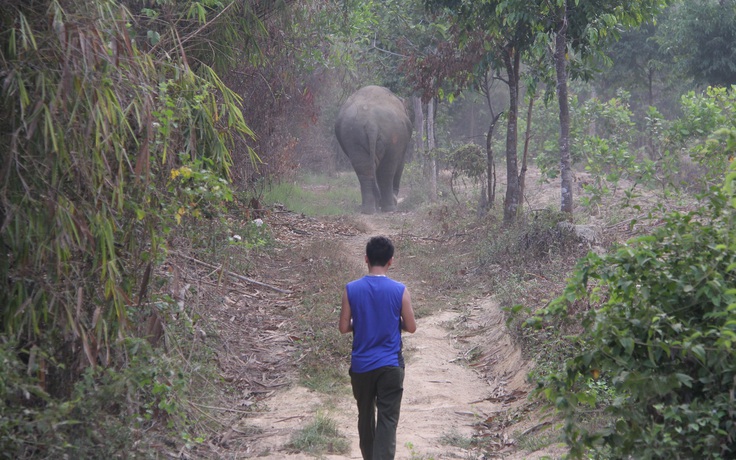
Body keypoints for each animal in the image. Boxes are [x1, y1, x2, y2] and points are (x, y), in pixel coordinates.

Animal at [334, 85, 414, 213]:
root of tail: (371, 123)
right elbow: (400, 164)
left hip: (353, 136)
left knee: (364, 170)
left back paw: (368, 210)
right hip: (393, 136)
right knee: (387, 171)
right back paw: (389, 209)